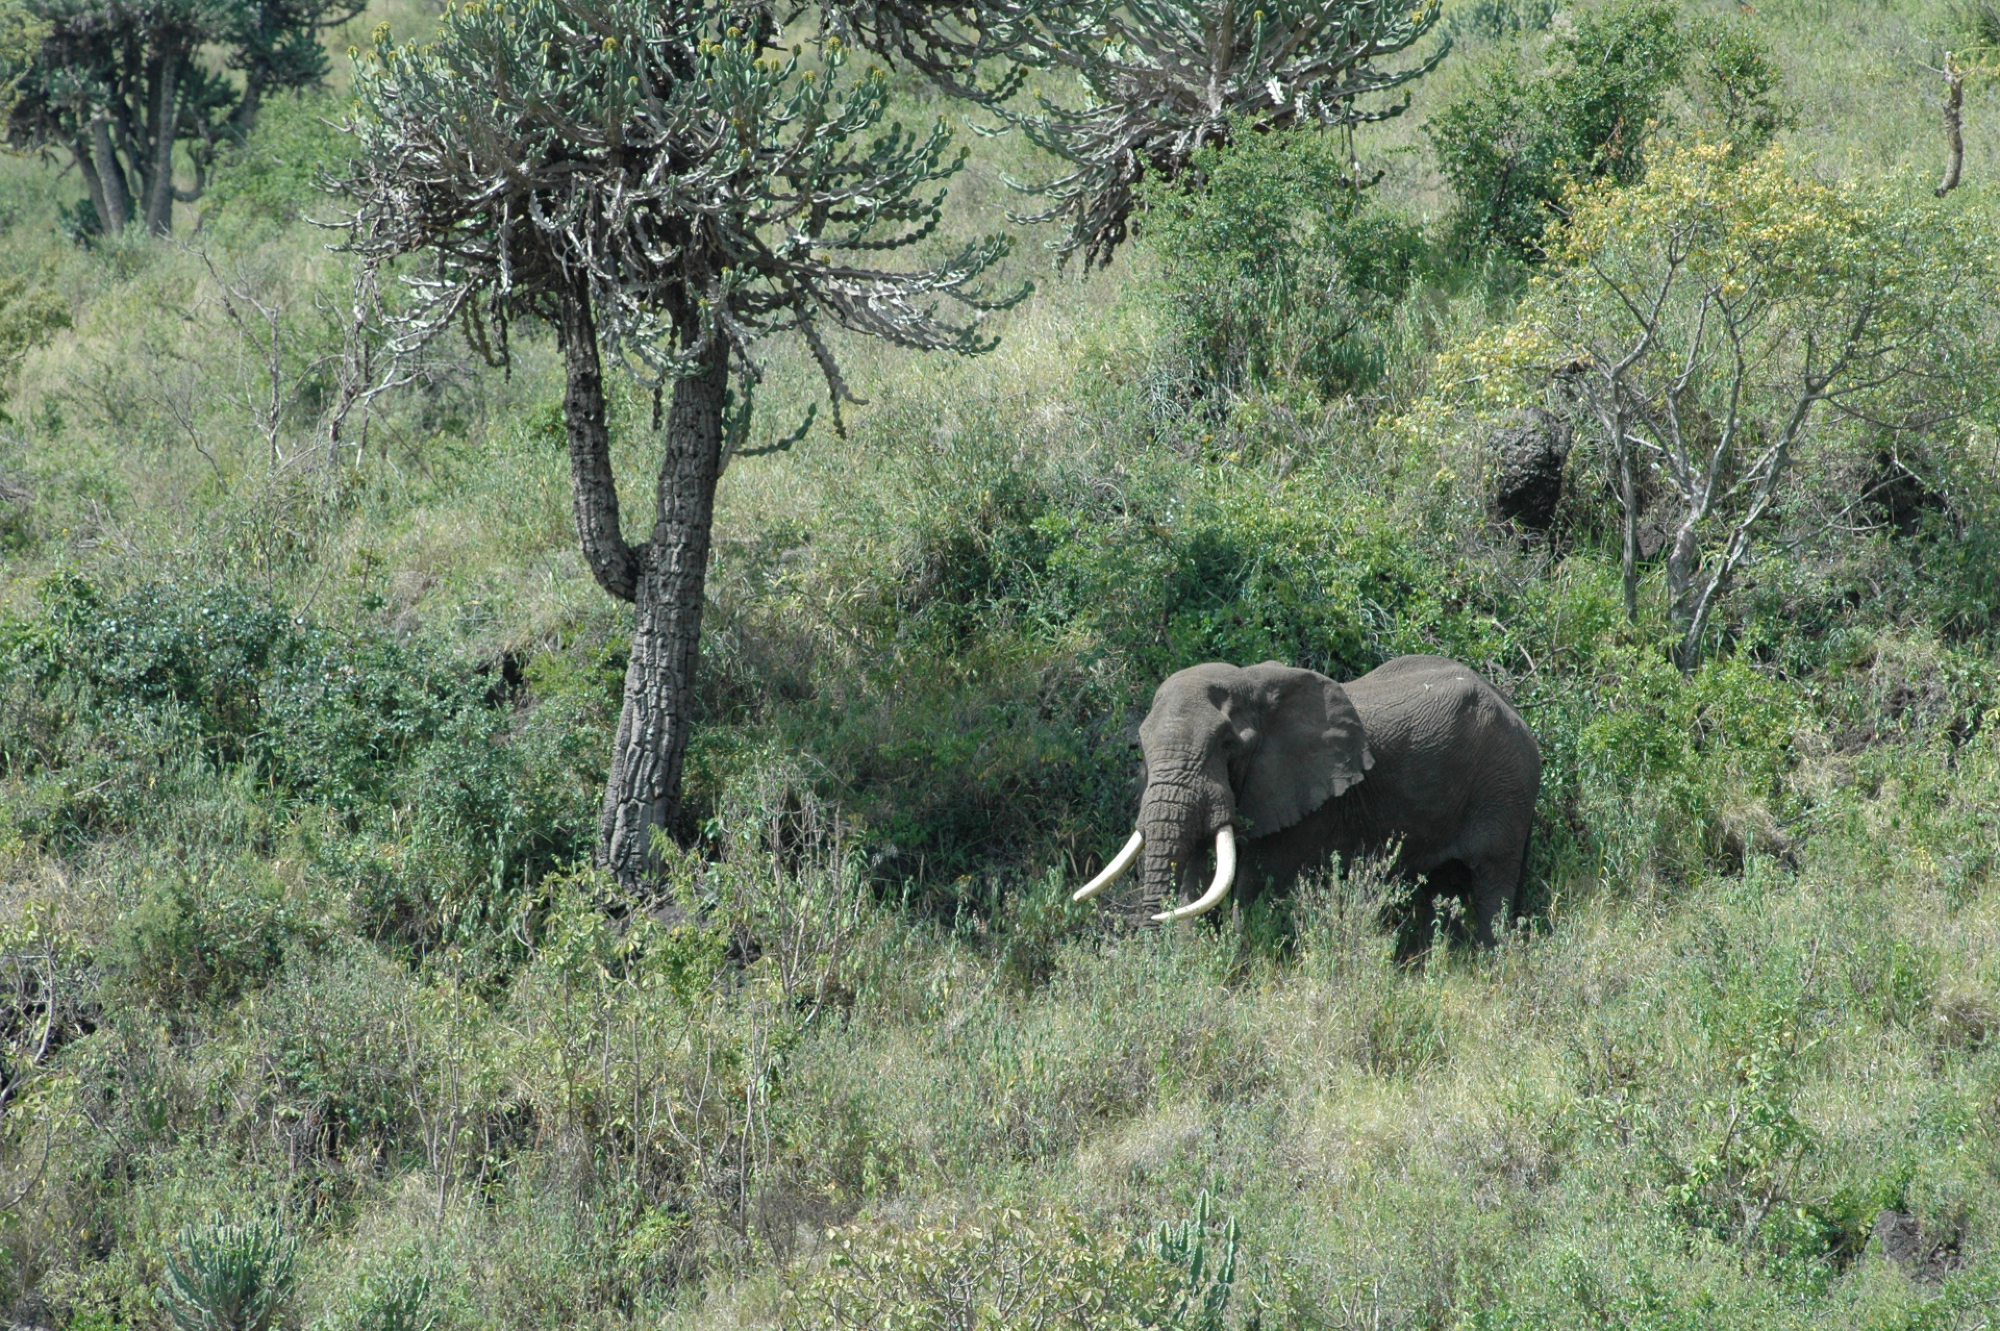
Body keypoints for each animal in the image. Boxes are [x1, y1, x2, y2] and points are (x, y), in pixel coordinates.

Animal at [1080, 651, 1544, 943]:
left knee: (1492, 883)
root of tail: (1514, 708)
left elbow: (1256, 880)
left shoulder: (1310, 798)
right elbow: (1193, 877)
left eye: (1228, 744)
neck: (1250, 683)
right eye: (1141, 746)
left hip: (1506, 783)